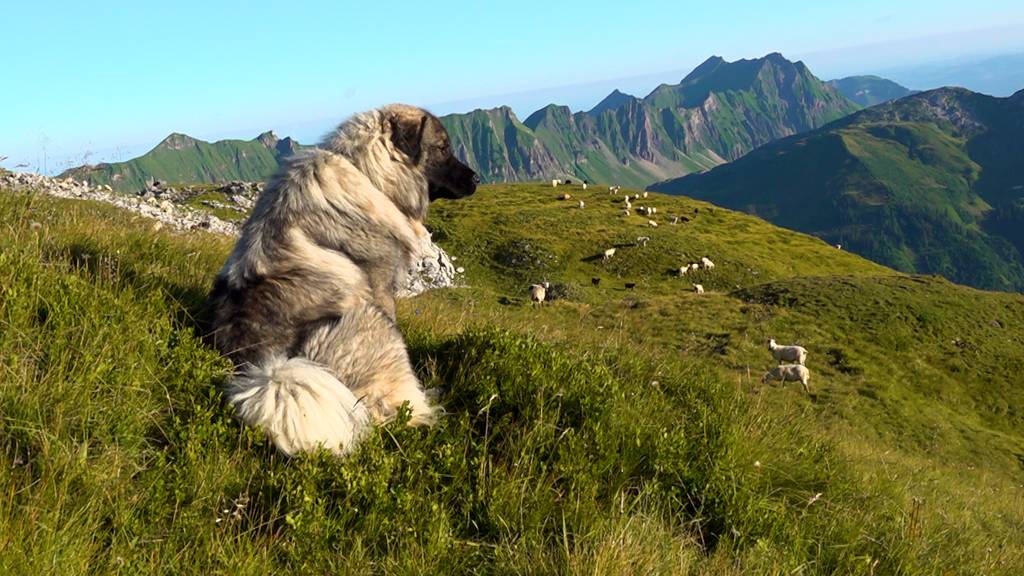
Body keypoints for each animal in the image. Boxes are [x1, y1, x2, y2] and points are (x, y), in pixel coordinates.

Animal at [208, 101, 483, 453]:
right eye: (443, 148)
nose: (477, 177)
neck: (367, 173)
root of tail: (272, 368)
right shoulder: (380, 287)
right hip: (371, 320)